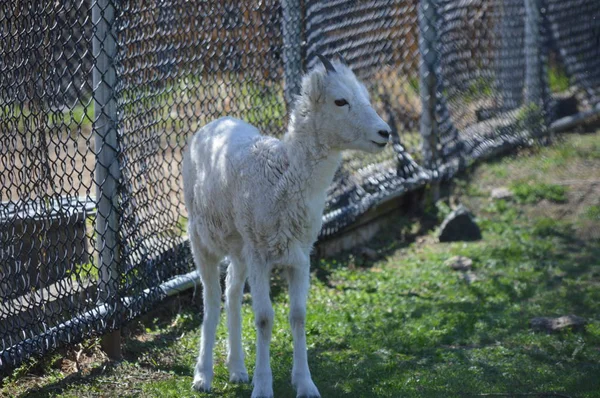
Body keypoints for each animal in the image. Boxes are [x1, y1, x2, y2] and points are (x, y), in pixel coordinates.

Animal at [180, 53, 392, 398]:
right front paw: (263, 387)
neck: (283, 177)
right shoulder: (260, 256)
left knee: (233, 293)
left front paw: (305, 385)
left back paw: (238, 370)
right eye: (340, 101)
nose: (384, 133)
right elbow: (265, 319)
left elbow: (298, 316)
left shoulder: (299, 256)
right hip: (202, 241)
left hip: (239, 249)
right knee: (211, 300)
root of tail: (211, 125)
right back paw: (203, 377)